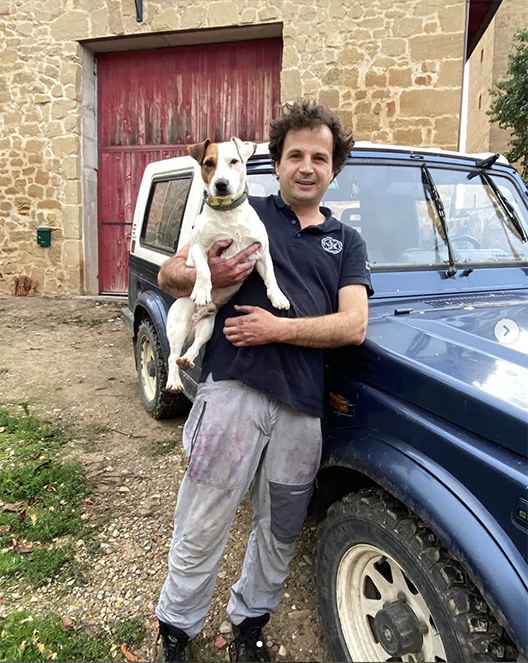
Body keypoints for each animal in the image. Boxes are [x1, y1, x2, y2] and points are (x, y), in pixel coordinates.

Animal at [165, 137, 290, 393]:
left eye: (234, 161)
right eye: (208, 163)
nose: (221, 184)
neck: (228, 214)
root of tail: (193, 323)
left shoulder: (261, 252)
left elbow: (271, 276)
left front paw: (278, 297)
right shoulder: (199, 248)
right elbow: (204, 270)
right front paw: (202, 291)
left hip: (207, 328)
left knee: (192, 349)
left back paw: (188, 359)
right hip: (178, 324)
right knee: (172, 357)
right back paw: (173, 381)